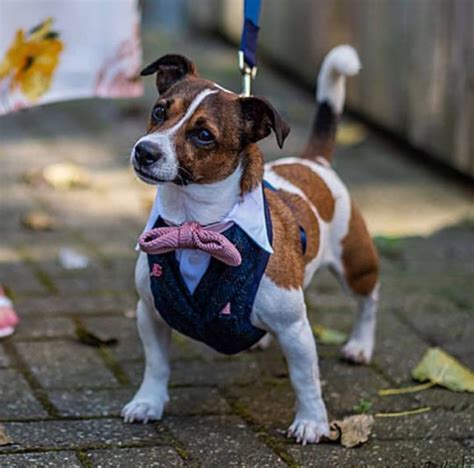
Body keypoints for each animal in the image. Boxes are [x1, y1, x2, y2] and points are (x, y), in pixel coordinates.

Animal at [123, 44, 382, 446]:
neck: (194, 224)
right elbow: (156, 364)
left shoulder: (295, 329)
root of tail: (313, 161)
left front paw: (312, 422)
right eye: (160, 111)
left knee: (369, 299)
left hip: (356, 263)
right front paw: (148, 402)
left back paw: (360, 345)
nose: (144, 151)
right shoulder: (149, 313)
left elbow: (305, 379)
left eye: (203, 135)